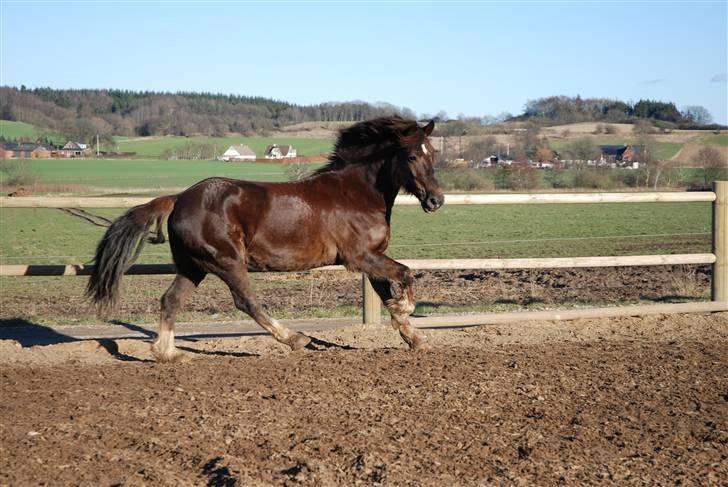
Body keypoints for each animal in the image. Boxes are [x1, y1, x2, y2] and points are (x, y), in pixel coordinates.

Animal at [88, 117, 446, 362]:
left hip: (194, 266)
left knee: (170, 300)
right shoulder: (360, 257)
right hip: (227, 260)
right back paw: (295, 338)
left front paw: (415, 338)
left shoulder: (372, 258)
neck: (358, 192)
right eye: (412, 156)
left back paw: (169, 353)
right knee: (246, 301)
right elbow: (405, 274)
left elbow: (388, 294)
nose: (436, 201)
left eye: (433, 154)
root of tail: (178, 198)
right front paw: (406, 310)